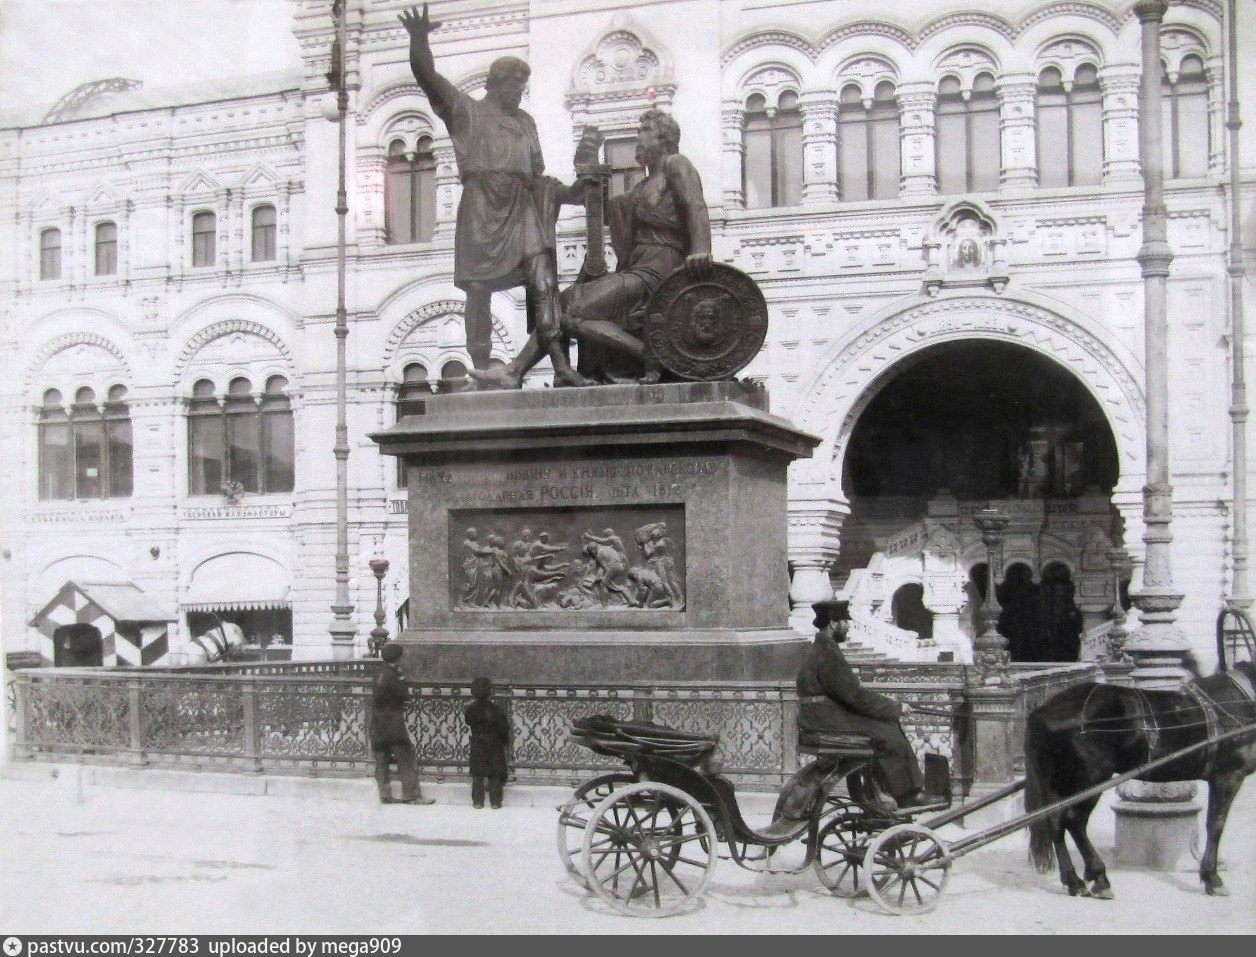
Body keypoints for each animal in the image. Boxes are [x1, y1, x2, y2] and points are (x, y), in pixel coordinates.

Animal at [1024, 658, 1250, 894]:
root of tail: (1044, 710)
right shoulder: (1227, 776)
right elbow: (1216, 824)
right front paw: (1212, 878)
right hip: (1091, 778)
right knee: (1074, 821)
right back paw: (1099, 876)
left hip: (1060, 781)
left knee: (1055, 821)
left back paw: (1074, 881)